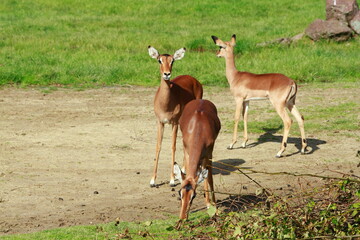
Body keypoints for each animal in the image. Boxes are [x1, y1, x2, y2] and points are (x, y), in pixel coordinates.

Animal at [147, 45, 202, 188]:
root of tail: (194, 80)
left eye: (172, 61)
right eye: (159, 60)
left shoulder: (174, 123)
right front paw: (152, 180)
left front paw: (172, 180)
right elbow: (158, 146)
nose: (167, 74)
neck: (166, 103)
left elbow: (173, 146)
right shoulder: (160, 122)